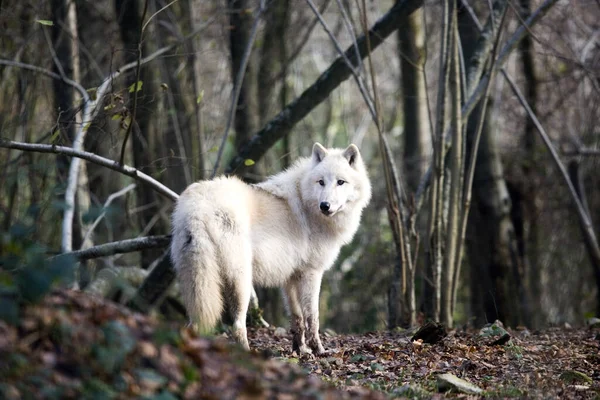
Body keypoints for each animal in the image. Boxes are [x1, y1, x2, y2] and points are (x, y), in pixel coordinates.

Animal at [169, 142, 372, 354]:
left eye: (341, 182)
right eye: (321, 182)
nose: (325, 205)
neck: (307, 204)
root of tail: (198, 207)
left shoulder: (291, 277)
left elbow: (297, 318)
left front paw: (300, 350)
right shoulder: (312, 273)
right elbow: (312, 317)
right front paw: (319, 350)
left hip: (198, 283)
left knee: (192, 324)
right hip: (241, 282)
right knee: (238, 325)